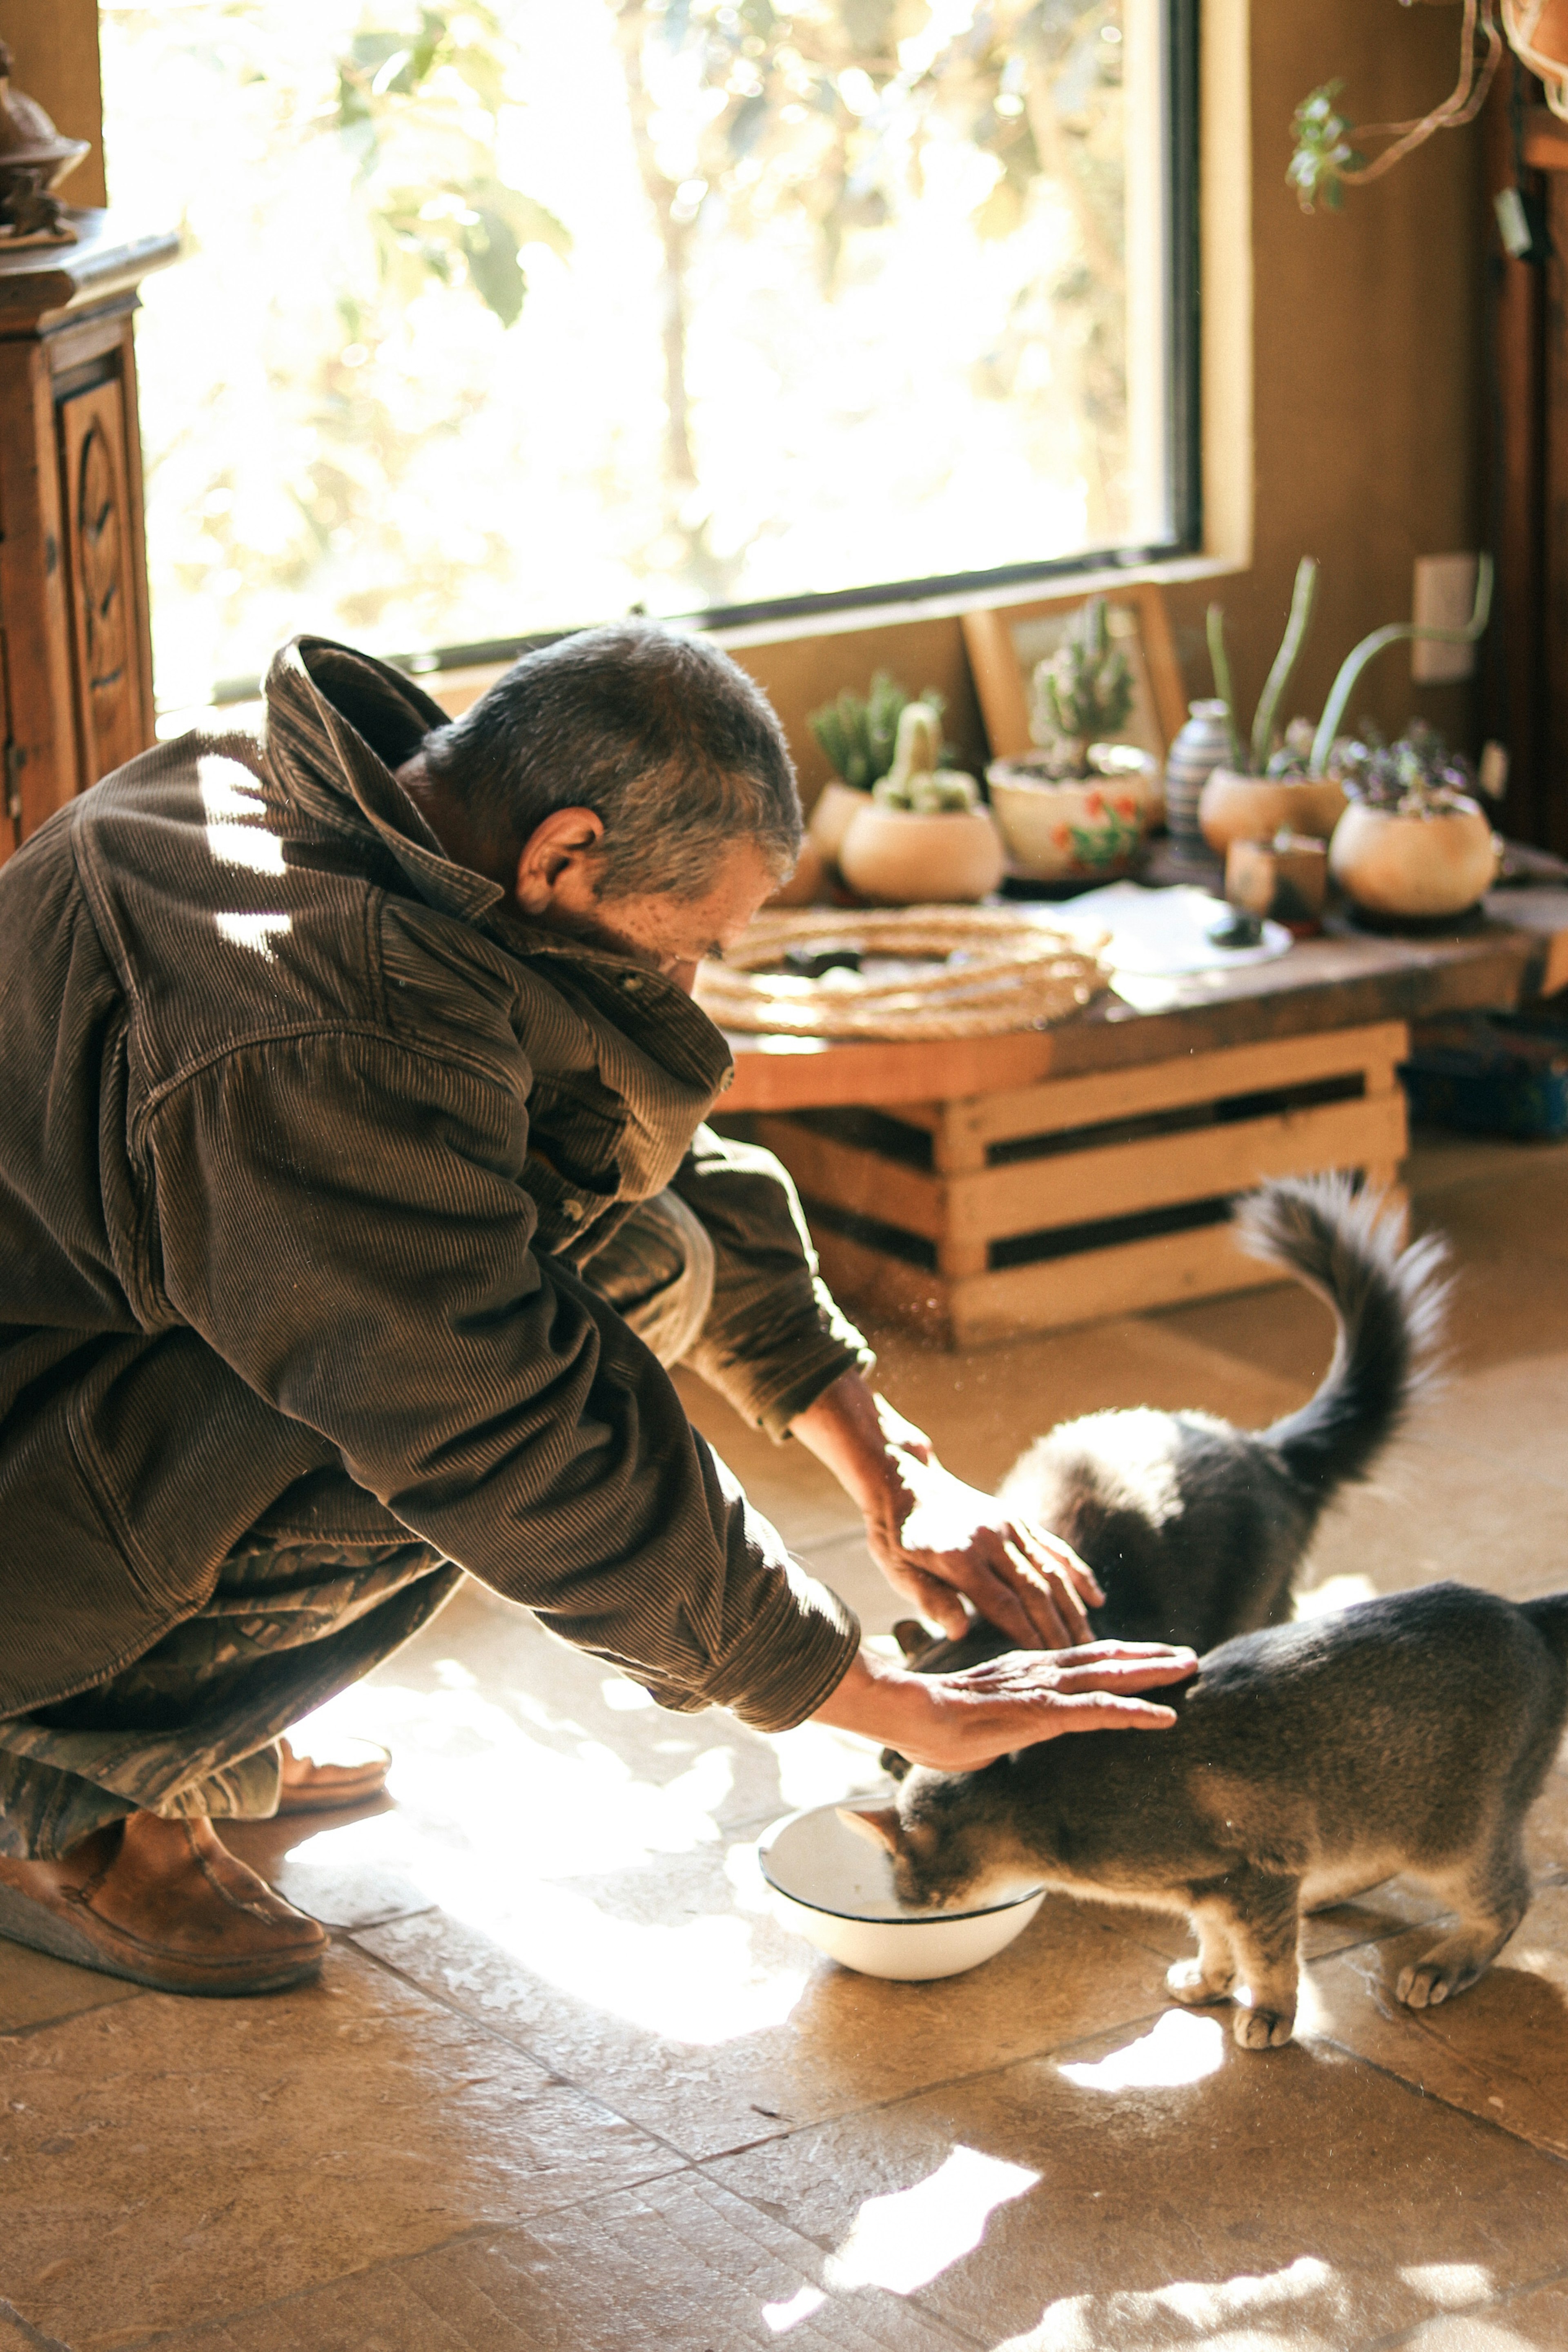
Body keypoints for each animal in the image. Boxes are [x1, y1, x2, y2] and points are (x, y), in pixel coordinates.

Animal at [860, 1571, 1568, 2051]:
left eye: (897, 1868)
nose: (902, 1904)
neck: (1043, 1798)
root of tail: (1522, 1613)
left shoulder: (1254, 1875)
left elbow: (1270, 1958)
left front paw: (1272, 2014)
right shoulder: (1214, 1886)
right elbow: (1221, 1940)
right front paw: (1212, 1979)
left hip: (1456, 1842)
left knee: (1511, 1900)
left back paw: (1444, 1964)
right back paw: (1326, 1894)